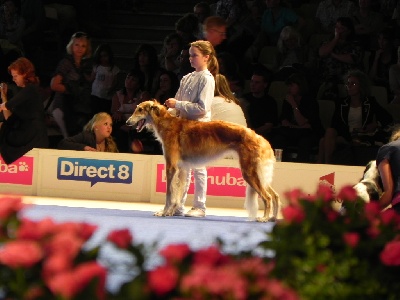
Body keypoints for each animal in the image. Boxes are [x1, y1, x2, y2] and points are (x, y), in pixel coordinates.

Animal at [126, 99, 280, 221]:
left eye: (140, 109)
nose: (127, 122)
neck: (167, 123)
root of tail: (258, 137)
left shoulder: (171, 166)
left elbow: (169, 194)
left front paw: (164, 212)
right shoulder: (181, 168)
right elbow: (177, 194)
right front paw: (171, 211)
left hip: (249, 172)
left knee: (267, 197)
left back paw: (264, 218)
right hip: (257, 173)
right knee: (276, 195)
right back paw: (273, 218)